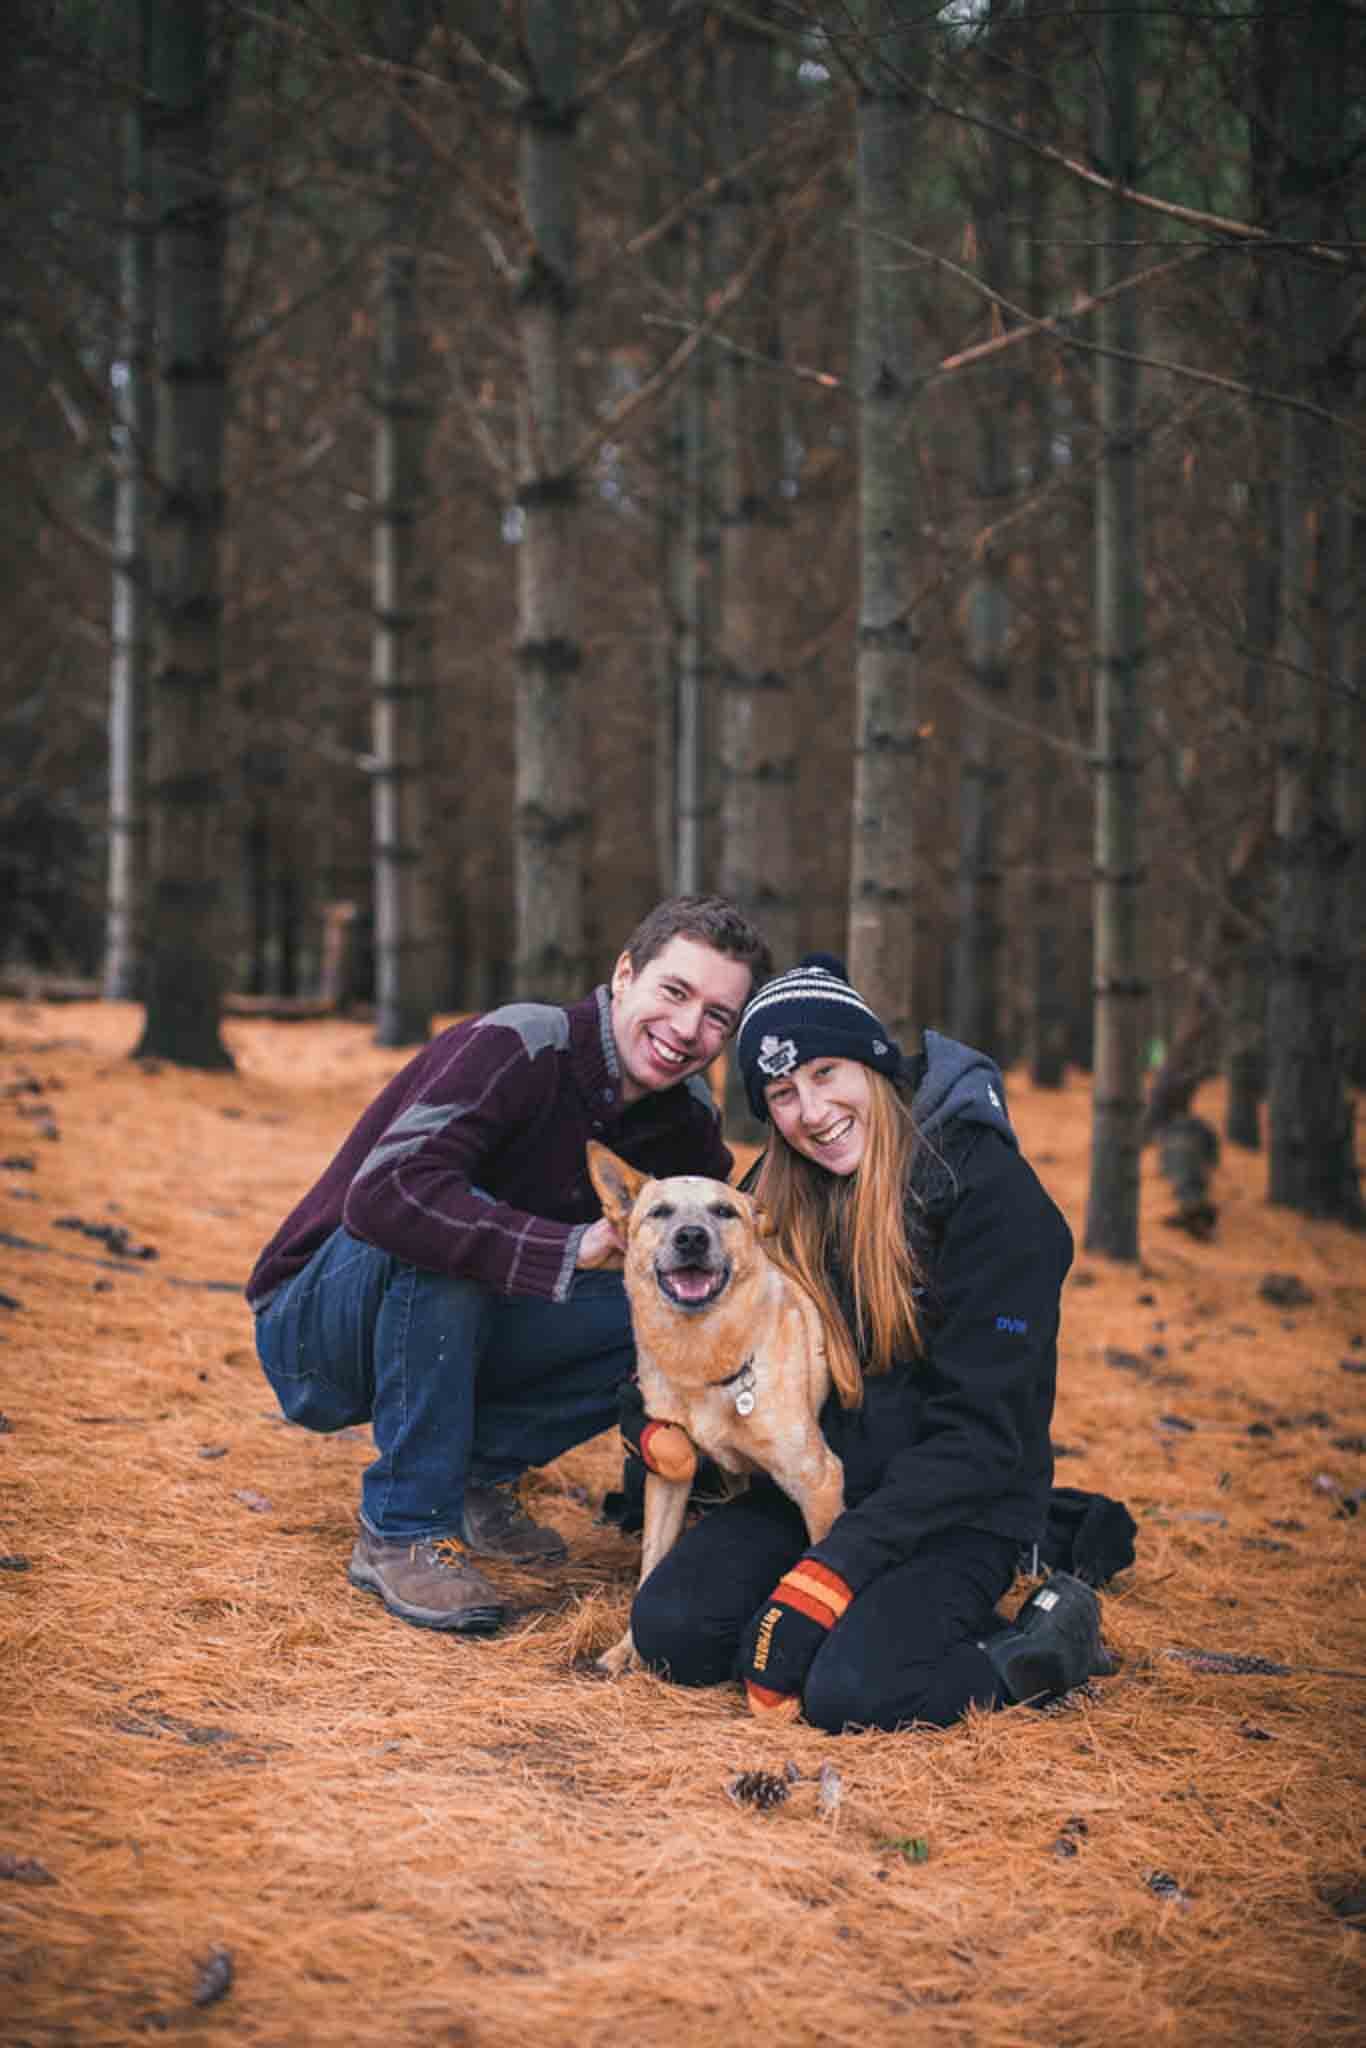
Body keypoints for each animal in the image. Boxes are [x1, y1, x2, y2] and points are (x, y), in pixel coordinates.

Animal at [589, 1138, 843, 1679]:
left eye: (724, 1212)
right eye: (660, 1212)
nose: (691, 1238)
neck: (701, 1357)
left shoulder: (821, 1480)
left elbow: (820, 1559)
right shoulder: (668, 1475)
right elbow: (650, 1571)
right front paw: (626, 1650)